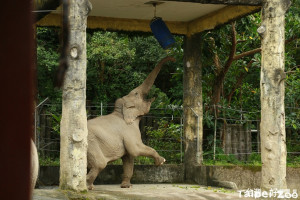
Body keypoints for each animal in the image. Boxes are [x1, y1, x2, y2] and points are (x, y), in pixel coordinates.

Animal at [86, 55, 176, 189]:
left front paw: (126, 186)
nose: (173, 59)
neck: (121, 111)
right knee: (100, 163)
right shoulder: (129, 131)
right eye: (137, 93)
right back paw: (88, 187)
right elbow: (135, 149)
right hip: (91, 144)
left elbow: (128, 157)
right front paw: (162, 161)